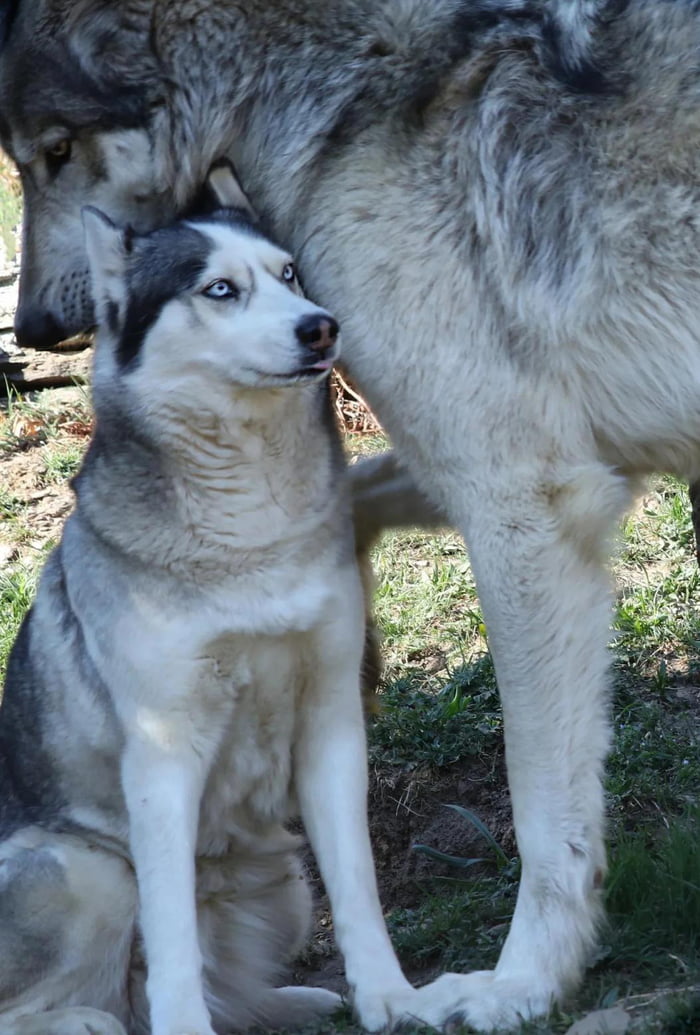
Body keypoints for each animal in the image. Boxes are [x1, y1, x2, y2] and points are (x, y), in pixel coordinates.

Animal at [0, 163, 468, 1035]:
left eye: (290, 275)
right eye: (220, 289)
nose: (322, 327)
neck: (249, 534)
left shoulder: (331, 720)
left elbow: (359, 888)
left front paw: (390, 997)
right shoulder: (162, 752)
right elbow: (172, 931)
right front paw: (184, 1025)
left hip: (284, 887)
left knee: (220, 982)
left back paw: (287, 1000)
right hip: (88, 868)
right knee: (96, 989)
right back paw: (88, 1020)